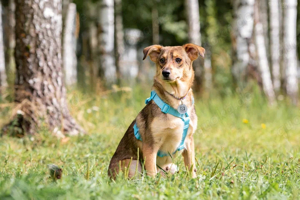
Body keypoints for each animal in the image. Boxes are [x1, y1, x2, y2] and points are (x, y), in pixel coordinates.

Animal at [109, 43, 205, 178]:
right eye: (162, 60)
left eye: (178, 60)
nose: (165, 72)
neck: (176, 98)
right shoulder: (151, 145)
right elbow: (151, 171)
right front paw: (153, 183)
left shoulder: (189, 142)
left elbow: (191, 167)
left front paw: (193, 180)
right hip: (133, 163)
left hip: (172, 166)